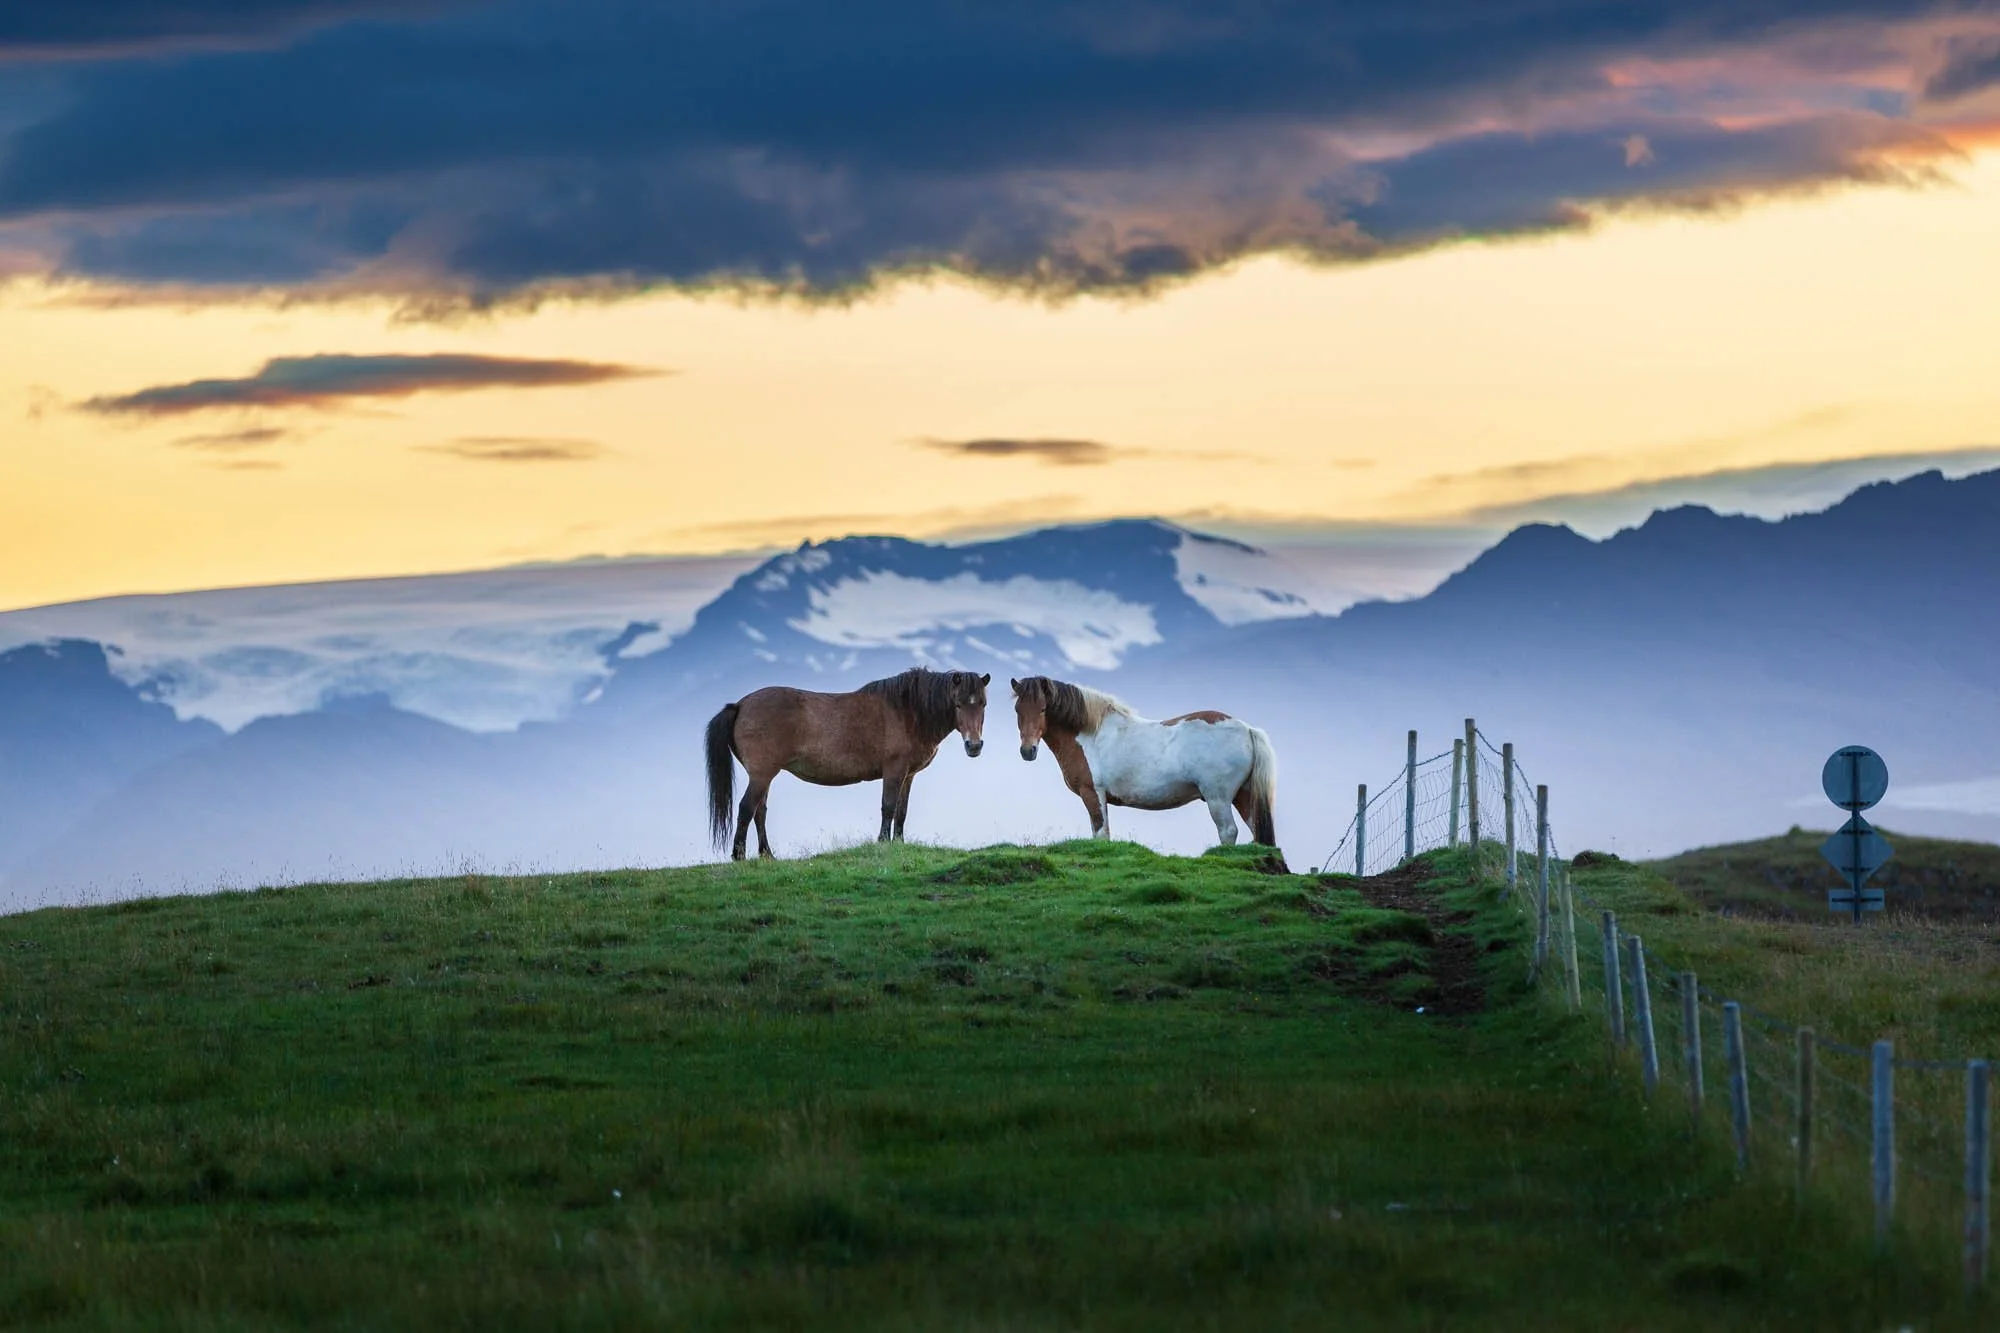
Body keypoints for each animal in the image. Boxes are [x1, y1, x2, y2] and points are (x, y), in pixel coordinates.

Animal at [705, 668, 989, 861]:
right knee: (746, 808)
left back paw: (767, 856)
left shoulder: (908, 775)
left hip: (764, 776)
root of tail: (740, 705)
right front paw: (883, 843)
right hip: (762, 774)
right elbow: (888, 807)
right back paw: (739, 856)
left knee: (759, 811)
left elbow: (901, 811)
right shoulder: (894, 770)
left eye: (983, 704)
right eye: (958, 704)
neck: (908, 711)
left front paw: (899, 843)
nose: (974, 746)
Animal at [1010, 676, 1276, 847]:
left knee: (1228, 831)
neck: (1089, 733)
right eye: (1017, 710)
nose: (1028, 750)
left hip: (1218, 798)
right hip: (1243, 795)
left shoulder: (1093, 793)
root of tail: (1248, 730)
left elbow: (1101, 834)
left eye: (1043, 709)